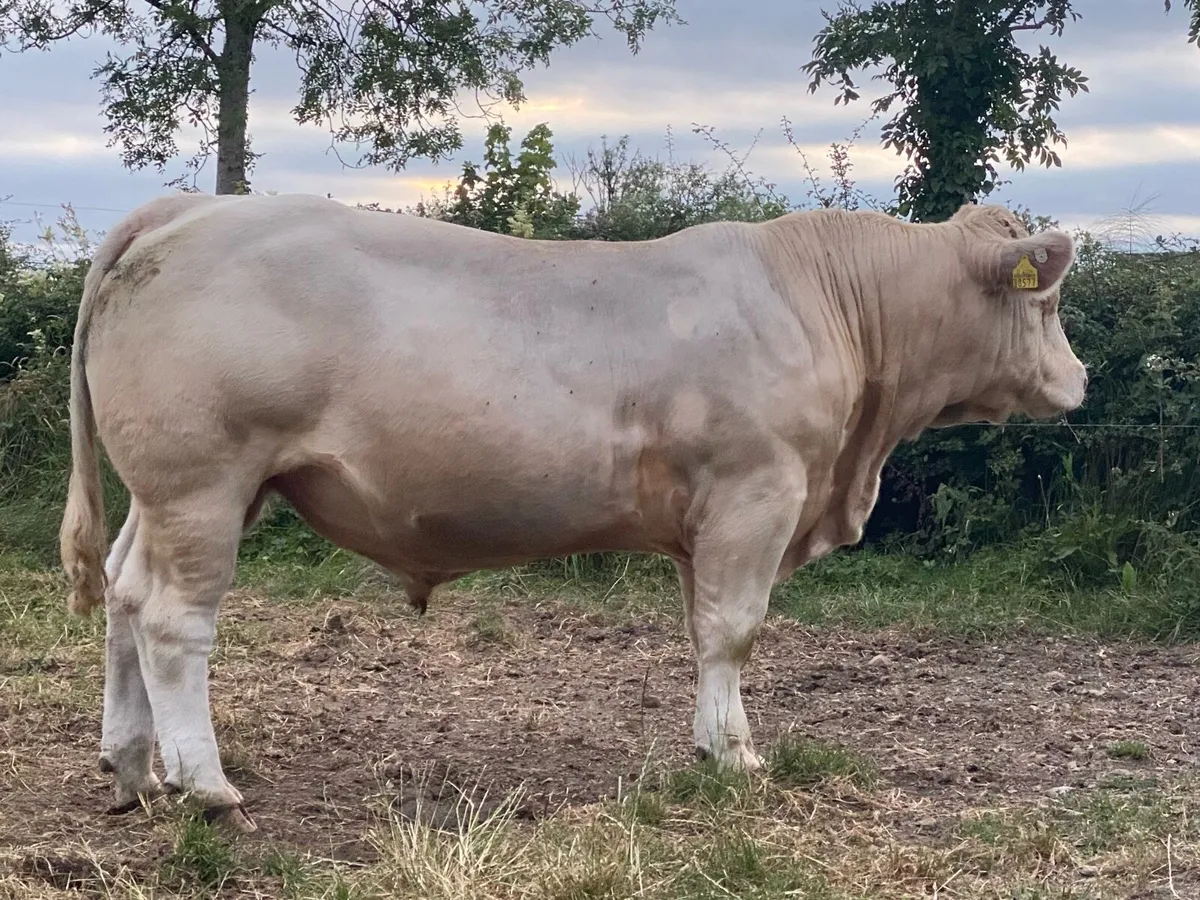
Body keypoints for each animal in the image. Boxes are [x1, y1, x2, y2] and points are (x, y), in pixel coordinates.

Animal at [59, 193, 1087, 832]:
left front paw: (710, 742)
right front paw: (738, 759)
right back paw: (205, 785)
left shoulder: (708, 519)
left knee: (120, 595)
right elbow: (735, 631)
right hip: (203, 479)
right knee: (173, 621)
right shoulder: (758, 489)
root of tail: (191, 207)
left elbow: (703, 630)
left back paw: (131, 766)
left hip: (169, 493)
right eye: (1048, 303)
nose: (1079, 380)